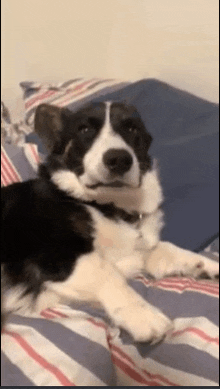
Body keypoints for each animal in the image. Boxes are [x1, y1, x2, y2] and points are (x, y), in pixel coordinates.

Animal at [1, 101, 218, 342]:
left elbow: (166, 248)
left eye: (132, 128)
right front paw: (147, 319)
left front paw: (206, 266)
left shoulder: (137, 251)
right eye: (84, 129)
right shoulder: (58, 255)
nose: (119, 160)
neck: (107, 205)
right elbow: (108, 274)